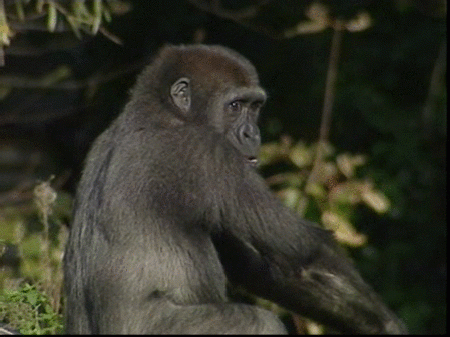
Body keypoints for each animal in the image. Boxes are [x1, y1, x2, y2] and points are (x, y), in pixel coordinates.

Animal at [64, 44, 408, 334]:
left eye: (255, 106)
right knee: (259, 323)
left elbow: (265, 270)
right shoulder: (211, 154)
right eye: (235, 106)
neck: (163, 110)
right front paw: (389, 324)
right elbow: (304, 249)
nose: (251, 133)